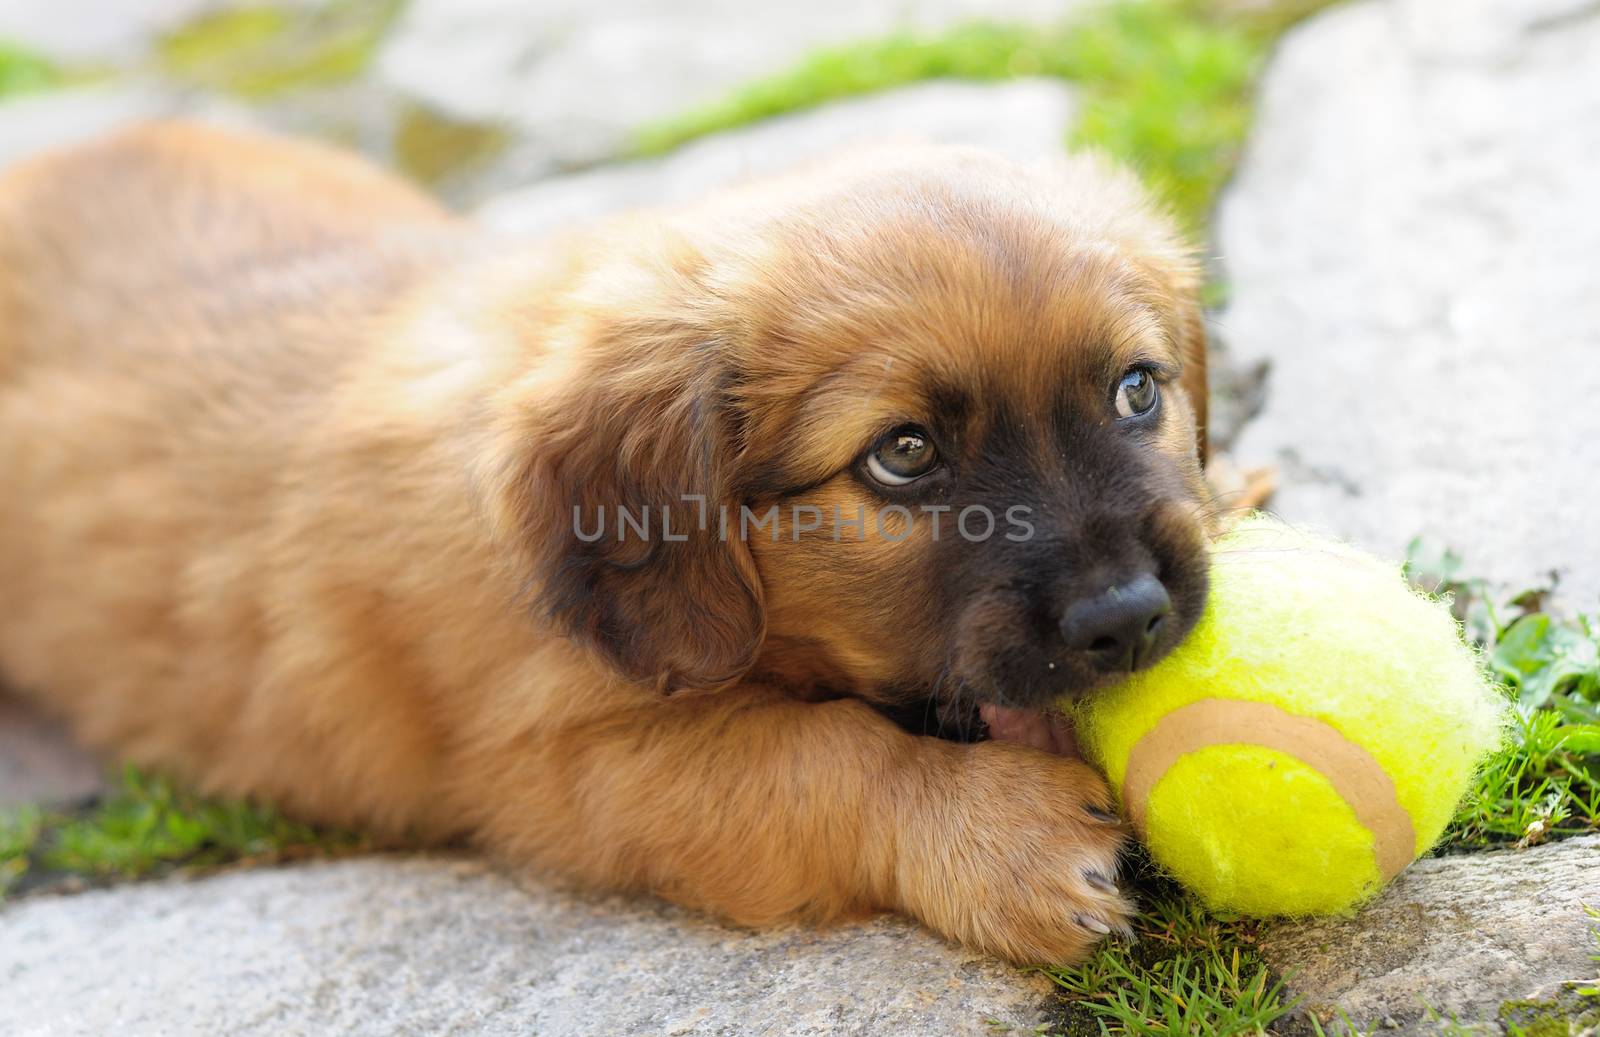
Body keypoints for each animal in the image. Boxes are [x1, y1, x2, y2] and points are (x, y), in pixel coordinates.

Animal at [0, 121, 1203, 966]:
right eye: (903, 454)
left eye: (1136, 389)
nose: (1129, 616)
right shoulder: (562, 769)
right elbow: (824, 758)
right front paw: (999, 835)